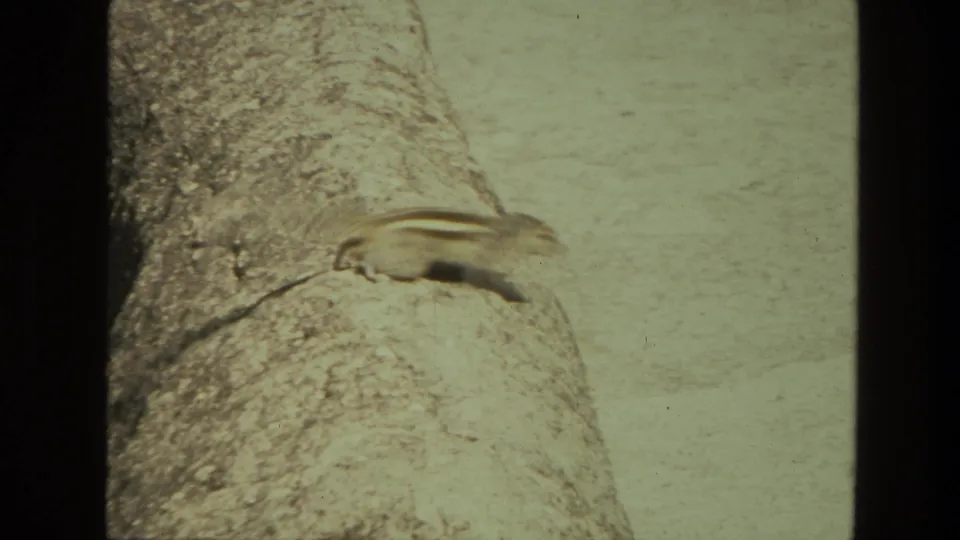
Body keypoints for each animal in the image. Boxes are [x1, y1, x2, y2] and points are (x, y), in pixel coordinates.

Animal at [332, 207, 566, 293]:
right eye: (546, 237)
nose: (565, 250)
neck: (506, 231)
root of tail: (371, 227)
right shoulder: (485, 254)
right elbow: (483, 273)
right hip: (409, 263)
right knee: (369, 262)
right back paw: (378, 276)